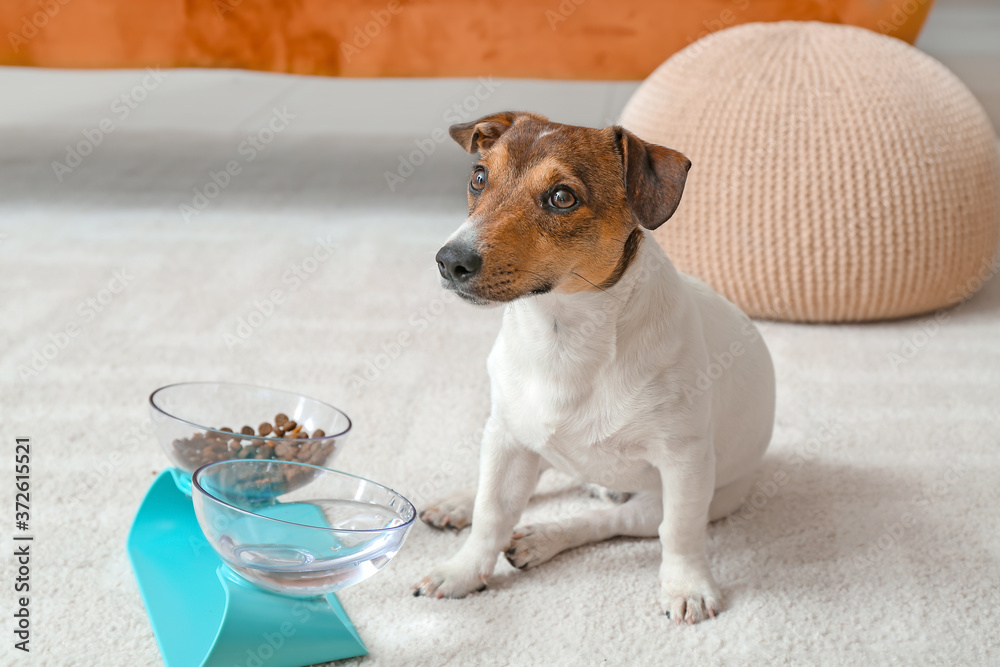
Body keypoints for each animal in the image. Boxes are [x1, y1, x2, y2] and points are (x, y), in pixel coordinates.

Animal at [410, 112, 776, 624]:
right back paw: (460, 502)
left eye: (562, 197)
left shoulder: (684, 463)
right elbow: (492, 513)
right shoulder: (507, 439)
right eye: (479, 177)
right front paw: (463, 570)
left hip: (699, 496)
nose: (450, 260)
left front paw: (687, 586)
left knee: (610, 519)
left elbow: (680, 533)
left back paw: (544, 536)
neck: (562, 337)